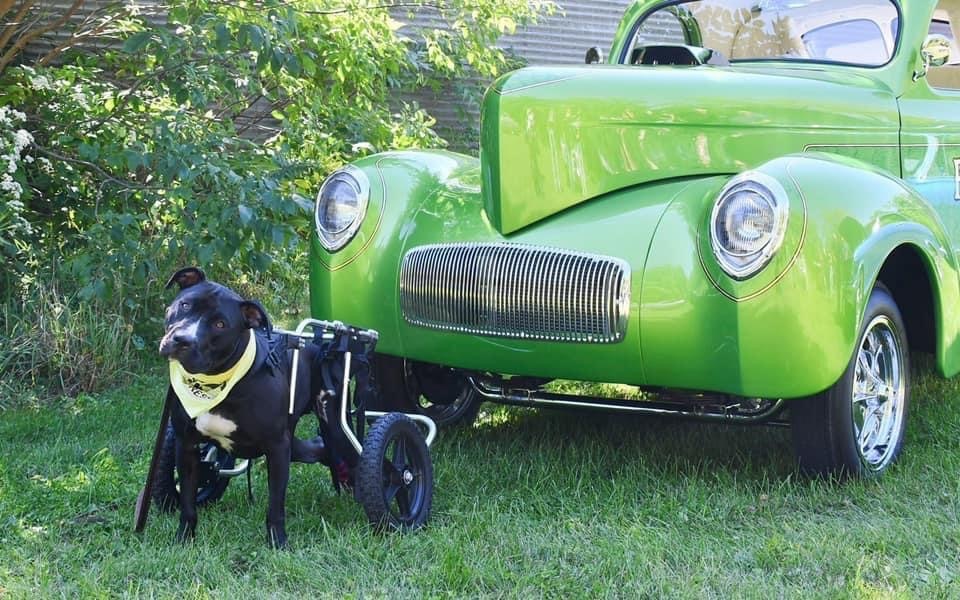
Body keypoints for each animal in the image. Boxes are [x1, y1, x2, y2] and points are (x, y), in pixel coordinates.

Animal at [161, 268, 344, 548]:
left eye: (220, 324)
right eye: (185, 305)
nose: (182, 340)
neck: (215, 383)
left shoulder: (277, 448)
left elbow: (275, 504)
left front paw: (278, 543)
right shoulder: (187, 445)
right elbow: (188, 503)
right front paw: (184, 538)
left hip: (329, 423)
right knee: (315, 449)